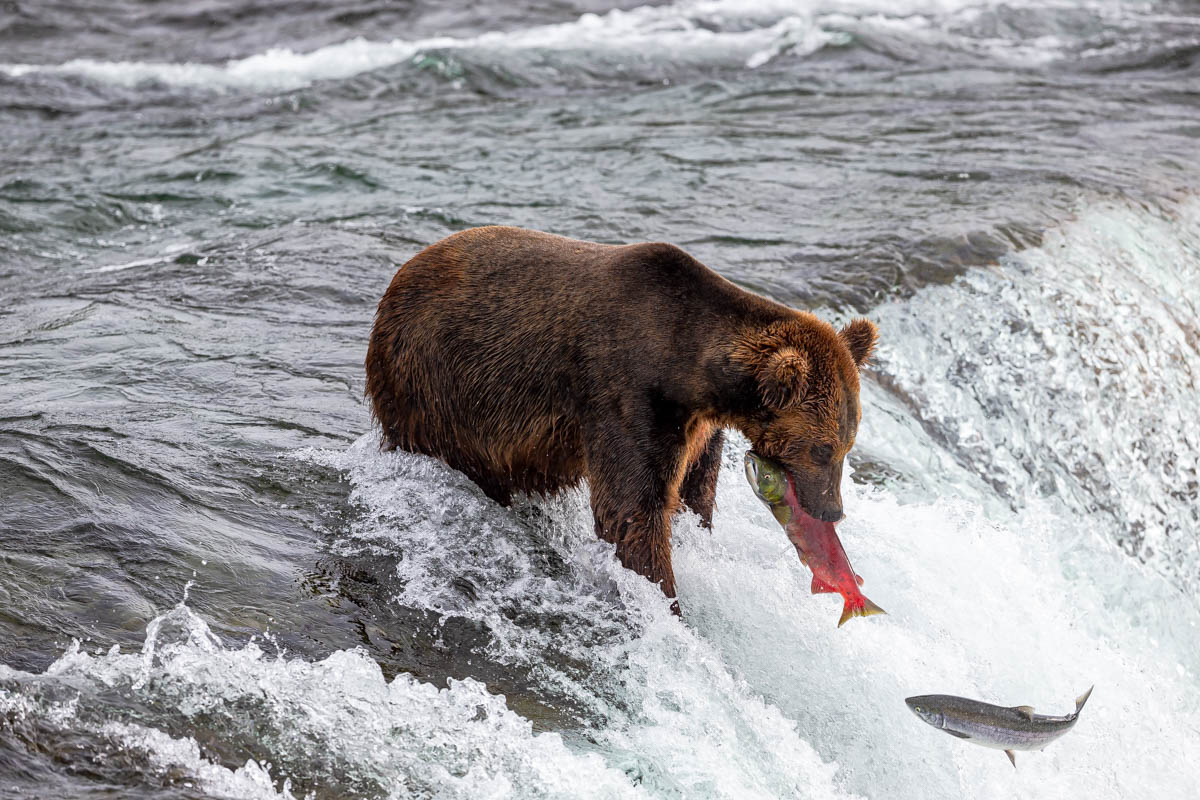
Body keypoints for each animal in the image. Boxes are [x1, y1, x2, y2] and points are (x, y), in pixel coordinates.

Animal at [360, 227, 878, 604]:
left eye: (847, 445)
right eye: (823, 448)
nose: (832, 509)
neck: (687, 365)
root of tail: (395, 285)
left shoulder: (698, 426)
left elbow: (695, 488)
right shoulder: (625, 393)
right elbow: (631, 509)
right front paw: (663, 592)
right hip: (436, 387)